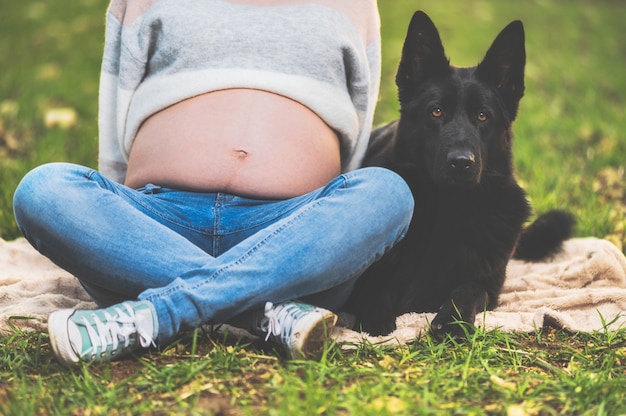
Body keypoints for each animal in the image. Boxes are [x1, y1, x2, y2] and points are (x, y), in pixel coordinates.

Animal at [344, 11, 572, 340]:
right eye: (436, 111)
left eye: (483, 115)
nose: (462, 163)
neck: (449, 208)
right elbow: (373, 284)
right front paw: (376, 315)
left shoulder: (489, 287)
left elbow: (468, 288)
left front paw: (451, 319)